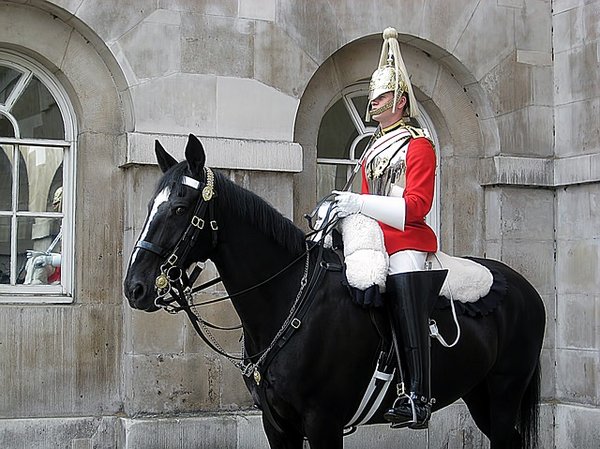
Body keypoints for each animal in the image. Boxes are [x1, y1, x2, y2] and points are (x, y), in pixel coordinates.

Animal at [124, 136, 548, 448]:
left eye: (180, 208)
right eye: (149, 206)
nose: (135, 288)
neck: (287, 301)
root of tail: (524, 286)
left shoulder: (323, 422)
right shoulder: (277, 425)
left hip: (505, 389)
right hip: (478, 393)